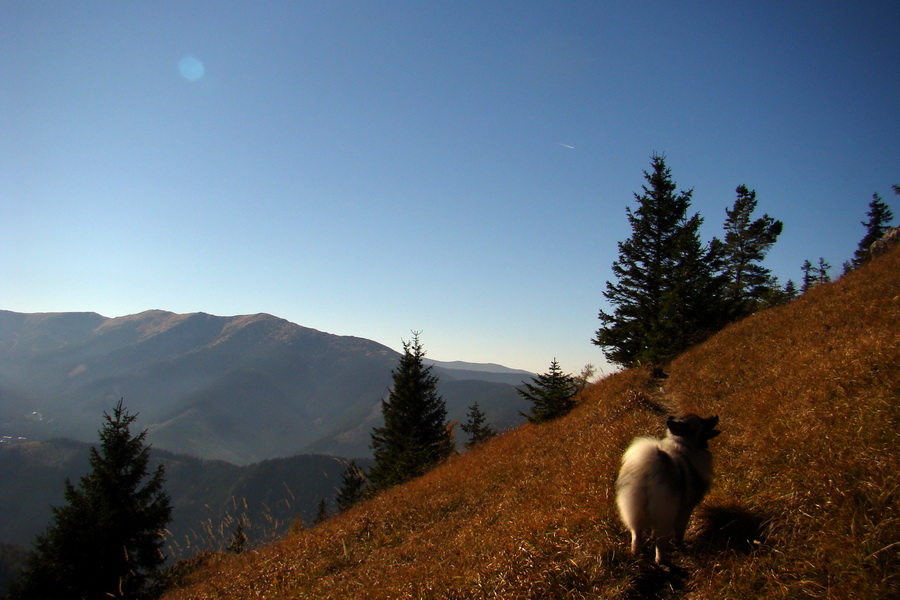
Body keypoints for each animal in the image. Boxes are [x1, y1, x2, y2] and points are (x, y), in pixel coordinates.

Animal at [616, 412, 720, 564]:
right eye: (700, 422)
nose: (715, 416)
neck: (684, 445)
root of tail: (647, 474)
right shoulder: (685, 509)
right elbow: (679, 531)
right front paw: (680, 546)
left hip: (634, 513)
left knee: (636, 536)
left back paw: (636, 555)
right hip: (664, 514)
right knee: (660, 542)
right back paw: (661, 559)